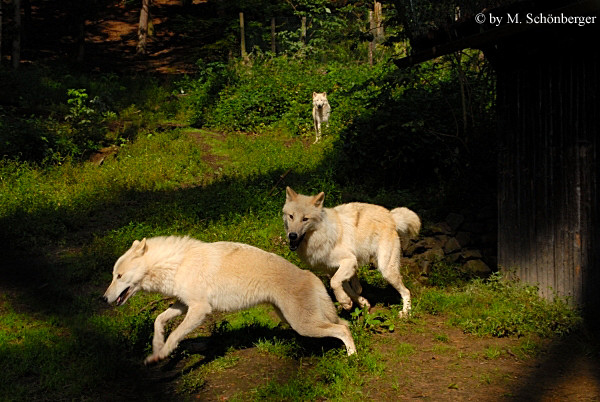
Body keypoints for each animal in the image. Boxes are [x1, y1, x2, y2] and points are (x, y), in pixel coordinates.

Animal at [103, 236, 356, 364]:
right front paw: (156, 348)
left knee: (343, 330)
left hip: (303, 325)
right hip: (296, 320)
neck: (177, 264)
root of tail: (310, 275)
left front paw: (163, 354)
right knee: (344, 324)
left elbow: (175, 334)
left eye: (119, 276)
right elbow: (159, 320)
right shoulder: (184, 304)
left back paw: (352, 358)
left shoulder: (200, 309)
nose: (104, 298)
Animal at [282, 188, 420, 318]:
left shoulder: (349, 261)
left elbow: (335, 283)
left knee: (406, 291)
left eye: (305, 219)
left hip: (386, 271)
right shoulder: (333, 269)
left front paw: (344, 301)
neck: (322, 234)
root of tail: (391, 216)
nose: (292, 235)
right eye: (291, 216)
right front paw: (359, 302)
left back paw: (405, 313)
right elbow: (345, 287)